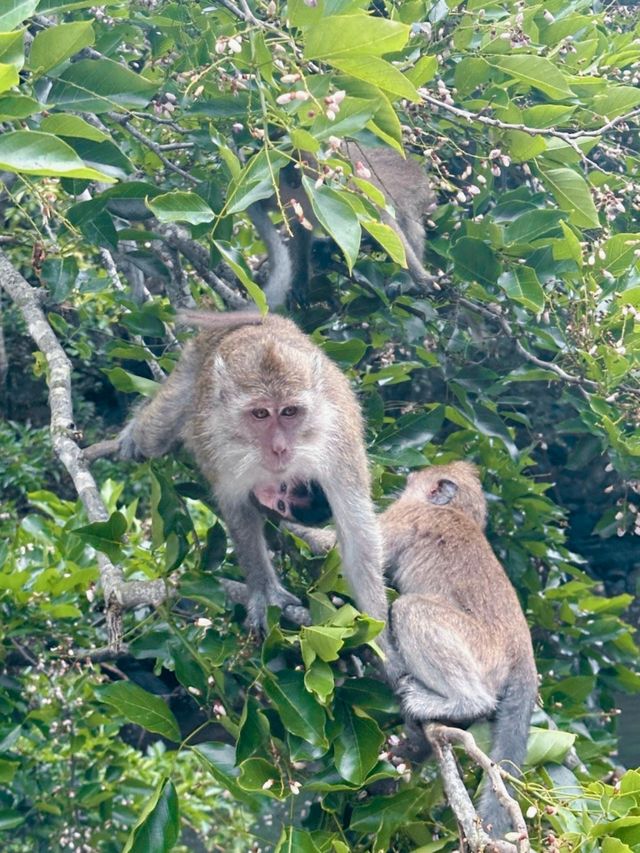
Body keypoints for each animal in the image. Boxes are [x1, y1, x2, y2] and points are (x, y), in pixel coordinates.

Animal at [117, 310, 392, 664]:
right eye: (260, 413)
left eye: (290, 412)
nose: (279, 448)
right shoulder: (221, 447)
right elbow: (238, 512)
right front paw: (265, 591)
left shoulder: (338, 443)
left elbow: (357, 534)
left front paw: (382, 642)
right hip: (192, 365)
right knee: (156, 433)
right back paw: (135, 431)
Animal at [248, 141, 438, 310]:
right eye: (290, 176)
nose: (295, 181)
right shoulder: (283, 193)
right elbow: (296, 228)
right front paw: (299, 283)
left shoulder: (353, 193)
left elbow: (386, 228)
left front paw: (422, 281)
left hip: (418, 193)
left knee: (409, 224)